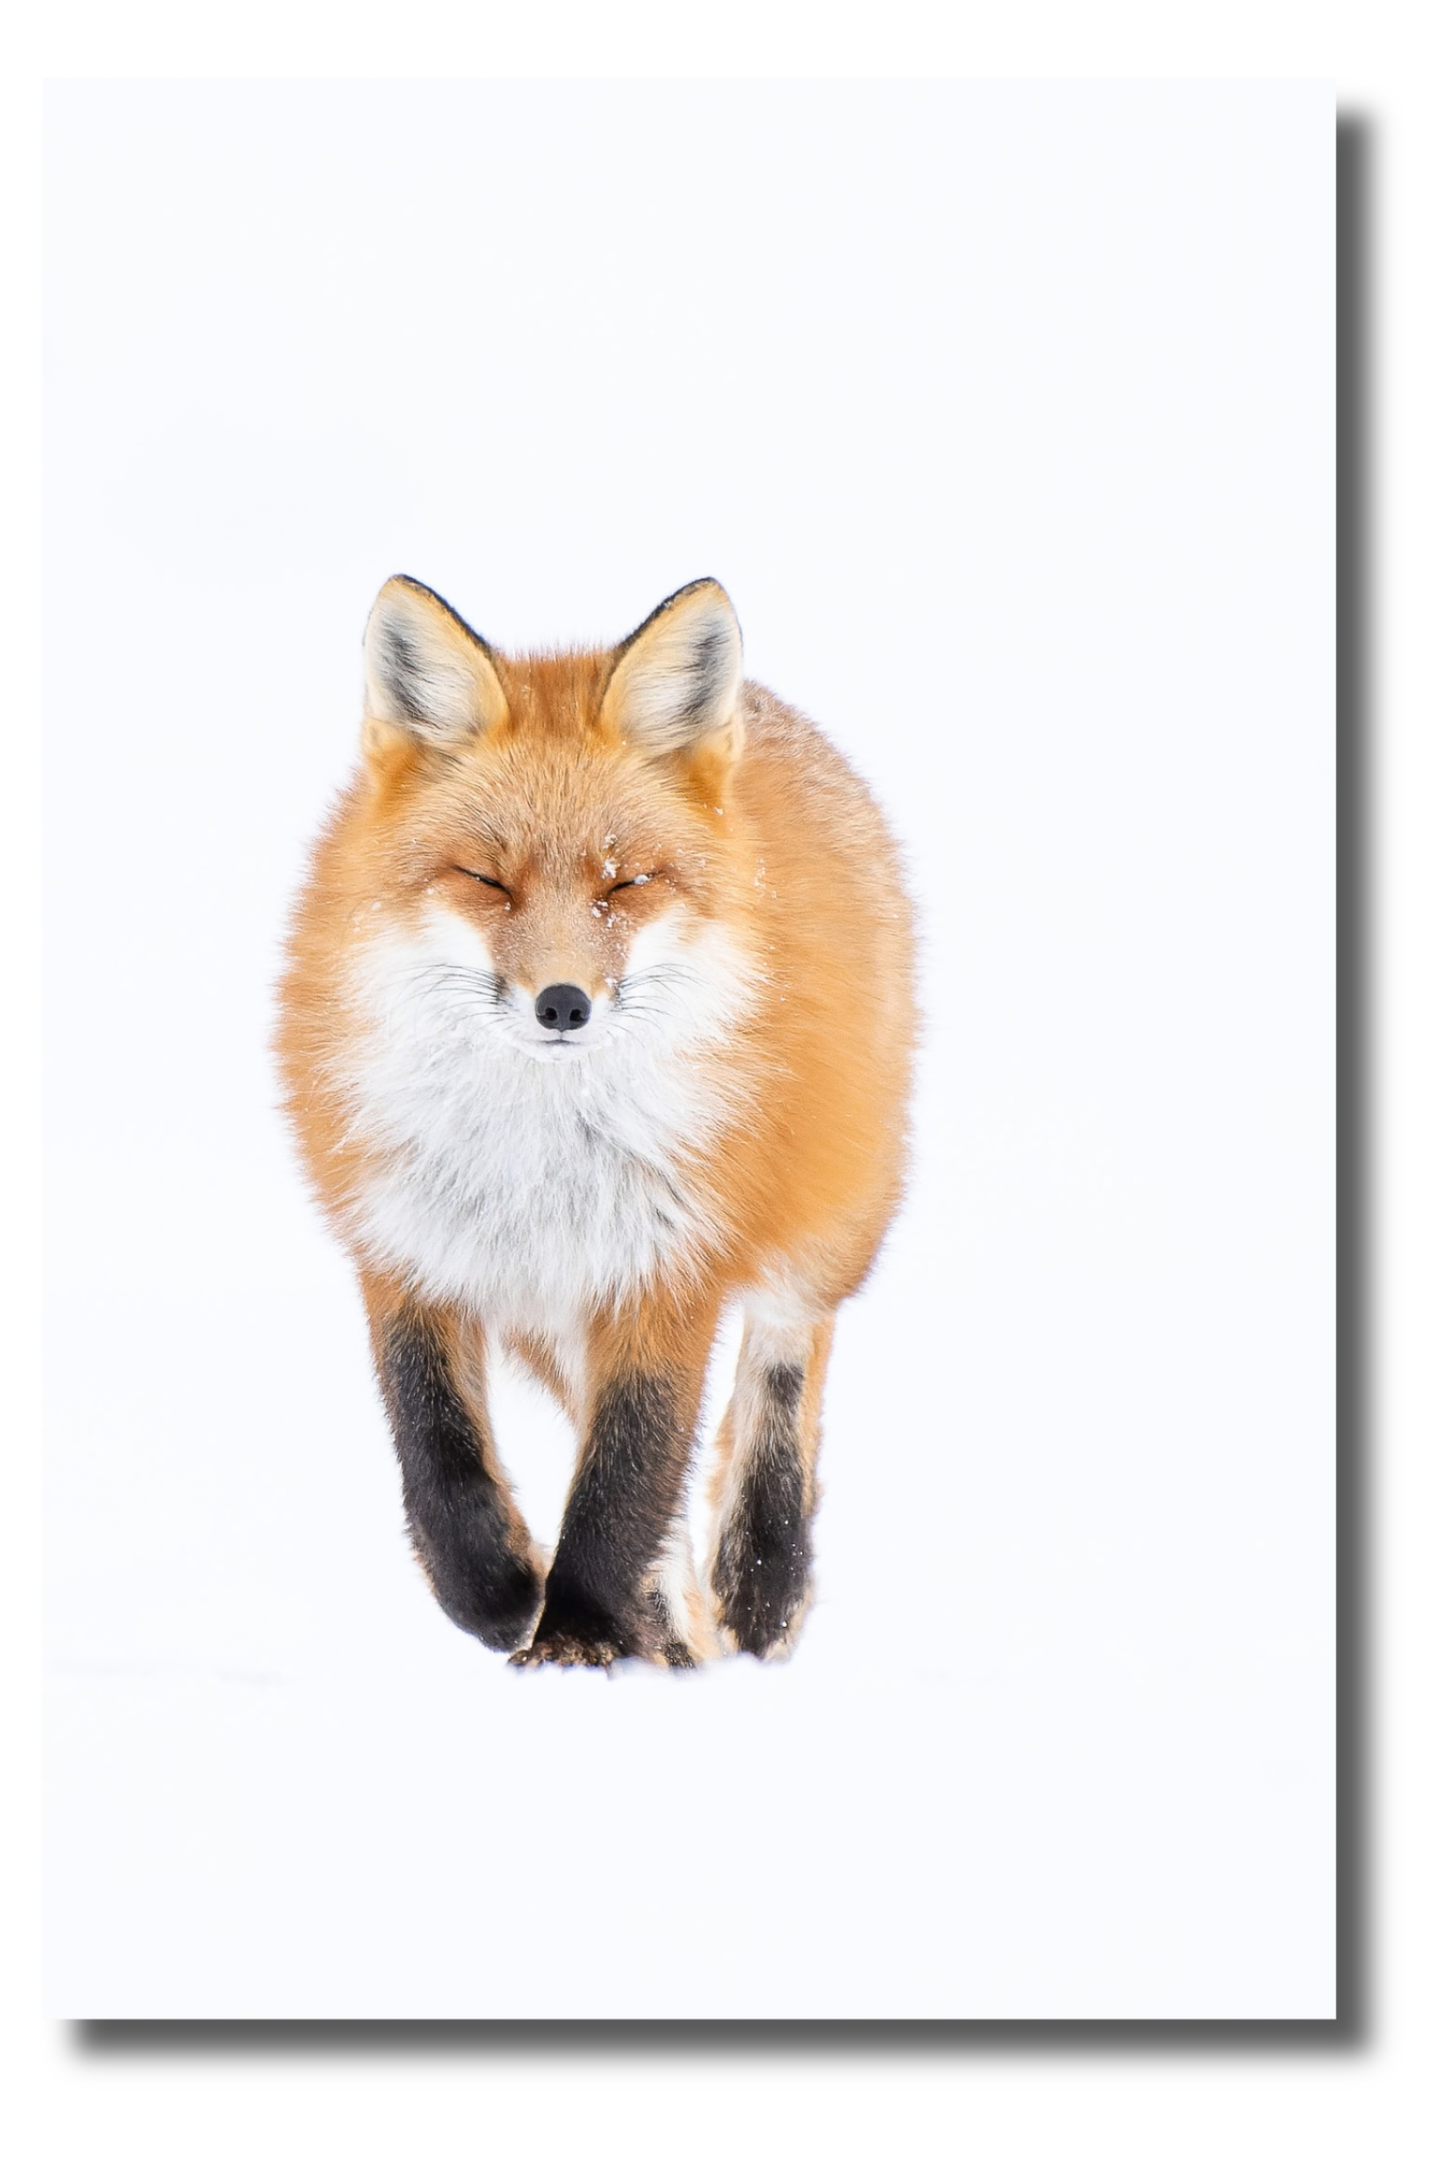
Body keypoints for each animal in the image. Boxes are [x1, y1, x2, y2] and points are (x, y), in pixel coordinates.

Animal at [275, 574, 915, 1668]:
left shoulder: (668, 1263)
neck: (533, 1155)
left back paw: (759, 1582)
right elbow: (439, 1453)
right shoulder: (406, 1245)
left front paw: (573, 1631)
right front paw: (500, 1593)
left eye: (625, 881)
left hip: (826, 1218)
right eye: (486, 880)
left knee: (781, 1367)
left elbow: (627, 1471)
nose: (563, 1004)